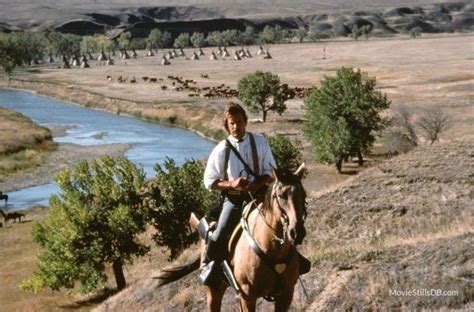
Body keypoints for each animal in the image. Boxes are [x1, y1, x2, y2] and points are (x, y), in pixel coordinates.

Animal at [155, 165, 308, 310]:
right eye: (281, 195)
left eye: (304, 195)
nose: (296, 232)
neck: (271, 248)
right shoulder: (248, 297)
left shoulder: (286, 294)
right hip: (213, 292)